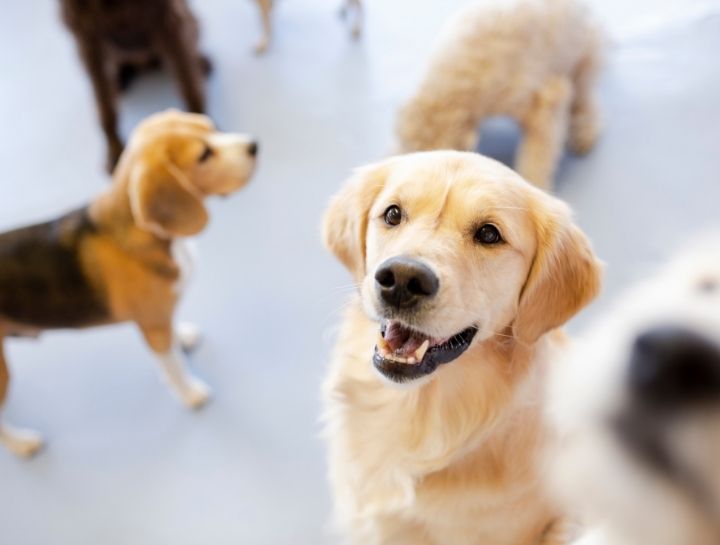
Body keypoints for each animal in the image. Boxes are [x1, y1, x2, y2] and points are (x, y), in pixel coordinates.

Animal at [0, 109, 258, 454]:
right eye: (204, 154)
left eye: (209, 126)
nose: (254, 145)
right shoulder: (152, 324)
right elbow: (172, 365)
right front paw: (190, 393)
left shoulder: (160, 318)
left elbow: (173, 337)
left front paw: (183, 336)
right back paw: (23, 444)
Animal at [59, 0, 211, 171]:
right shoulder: (87, 39)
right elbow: (104, 106)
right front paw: (114, 149)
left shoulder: (170, 21)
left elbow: (189, 85)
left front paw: (201, 133)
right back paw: (120, 80)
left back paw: (201, 62)